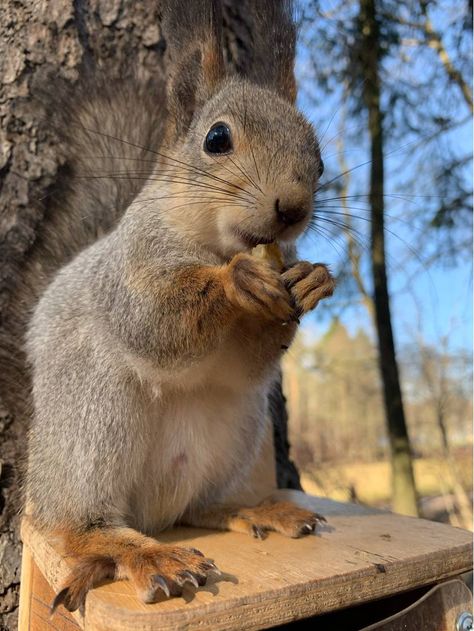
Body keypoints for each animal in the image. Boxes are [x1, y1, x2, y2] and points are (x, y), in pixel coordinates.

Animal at [24, 0, 334, 616]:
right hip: (89, 414)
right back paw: (148, 555)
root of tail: (151, 514)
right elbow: (153, 321)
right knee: (75, 524)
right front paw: (236, 279)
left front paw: (311, 278)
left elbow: (250, 359)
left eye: (318, 159)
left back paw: (251, 510)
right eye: (217, 138)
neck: (212, 243)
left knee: (197, 508)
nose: (292, 209)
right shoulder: (128, 269)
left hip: (234, 429)